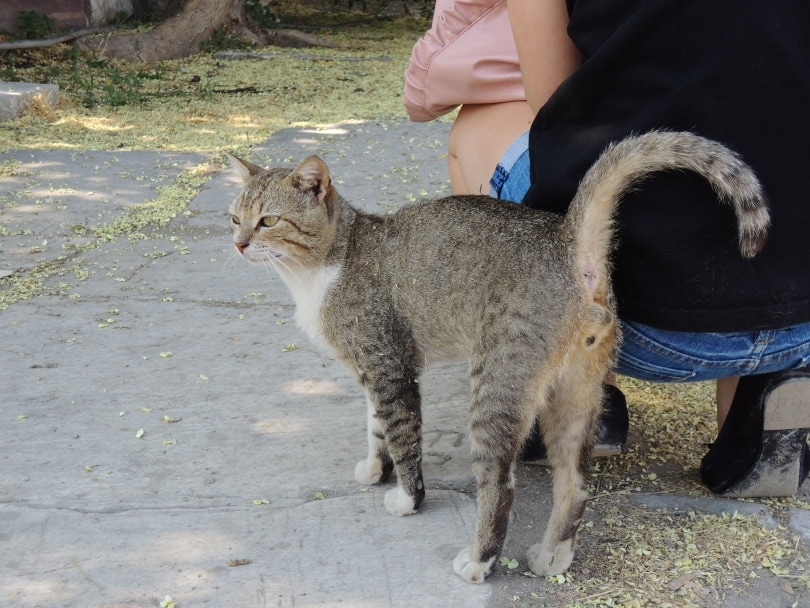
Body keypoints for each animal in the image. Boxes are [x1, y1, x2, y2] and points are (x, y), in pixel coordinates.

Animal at [226, 131, 764, 580]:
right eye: (234, 218)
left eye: (268, 220)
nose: (238, 243)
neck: (327, 264)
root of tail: (567, 239)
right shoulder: (373, 370)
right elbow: (375, 427)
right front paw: (375, 470)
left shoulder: (389, 366)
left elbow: (400, 434)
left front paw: (407, 497)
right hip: (577, 390)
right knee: (575, 482)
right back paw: (552, 556)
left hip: (497, 381)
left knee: (500, 485)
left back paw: (479, 560)